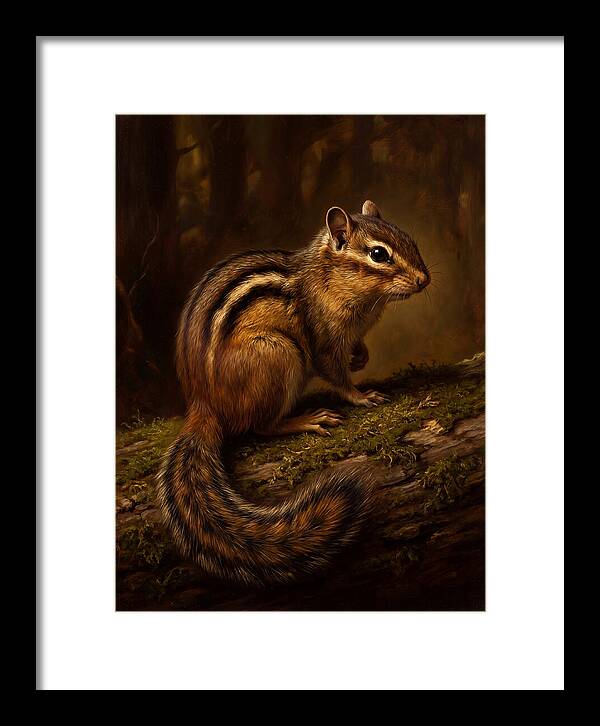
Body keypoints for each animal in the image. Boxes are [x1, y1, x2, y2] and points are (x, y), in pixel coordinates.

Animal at [158, 200, 431, 586]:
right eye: (379, 254)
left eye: (409, 239)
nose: (425, 279)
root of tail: (204, 404)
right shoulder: (323, 340)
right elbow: (335, 374)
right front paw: (361, 396)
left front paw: (361, 357)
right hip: (279, 354)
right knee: (260, 426)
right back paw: (307, 420)